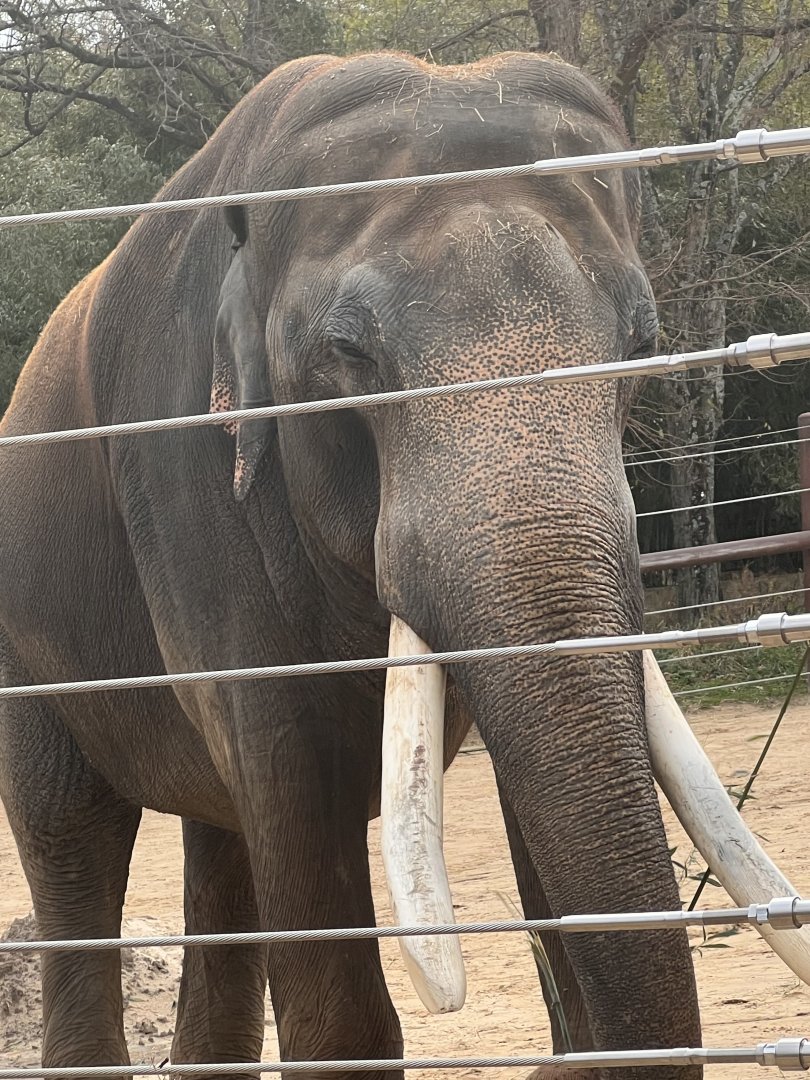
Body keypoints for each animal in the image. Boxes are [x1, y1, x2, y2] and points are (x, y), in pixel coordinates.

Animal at [0, 50, 806, 1080]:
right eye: (348, 353)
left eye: (641, 343)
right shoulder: (187, 492)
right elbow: (292, 786)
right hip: (28, 648)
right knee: (71, 835)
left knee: (218, 840)